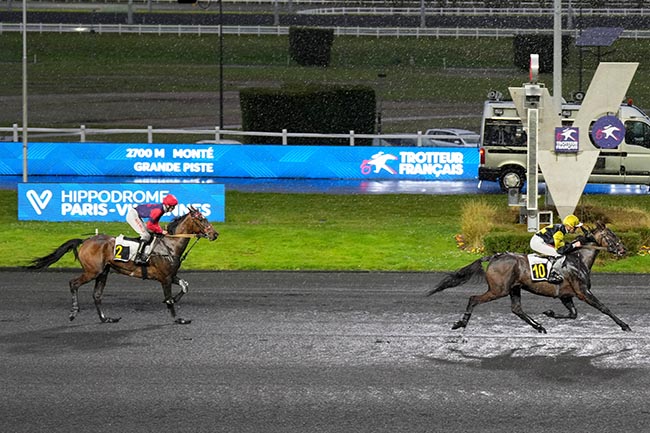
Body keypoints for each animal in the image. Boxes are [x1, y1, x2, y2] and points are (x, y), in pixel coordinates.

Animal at [27, 206, 218, 324]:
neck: (169, 245)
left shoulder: (171, 275)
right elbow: (170, 298)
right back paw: (74, 312)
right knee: (73, 283)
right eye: (202, 219)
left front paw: (173, 300)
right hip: (92, 271)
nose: (215, 234)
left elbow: (185, 286)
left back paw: (105, 318)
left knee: (97, 295)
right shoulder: (164, 278)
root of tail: (86, 241)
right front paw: (178, 318)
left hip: (103, 273)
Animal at [426, 221, 628, 332]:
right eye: (611, 235)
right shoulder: (582, 291)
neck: (578, 258)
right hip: (498, 289)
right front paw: (624, 325)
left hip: (514, 288)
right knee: (474, 299)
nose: (623, 250)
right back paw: (461, 323)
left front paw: (549, 313)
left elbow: (573, 314)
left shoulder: (565, 295)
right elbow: (604, 308)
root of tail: (495, 256)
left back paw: (538, 326)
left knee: (517, 309)